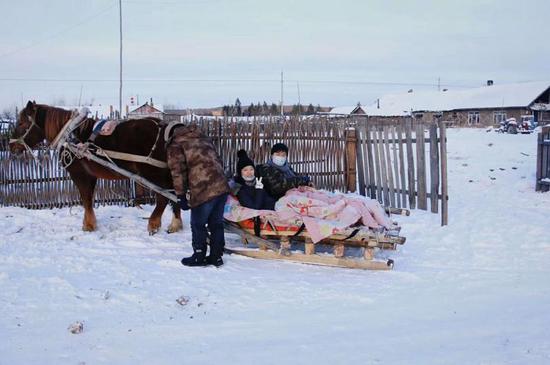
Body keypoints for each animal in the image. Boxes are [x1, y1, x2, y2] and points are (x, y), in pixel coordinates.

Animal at [10, 100, 183, 233]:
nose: (11, 146)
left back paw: (153, 224)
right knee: (176, 194)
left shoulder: (79, 174)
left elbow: (86, 199)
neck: (70, 135)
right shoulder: (91, 175)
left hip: (153, 174)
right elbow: (89, 199)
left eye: (21, 122)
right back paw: (175, 224)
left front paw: (88, 226)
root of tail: (167, 129)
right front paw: (89, 223)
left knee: (163, 197)